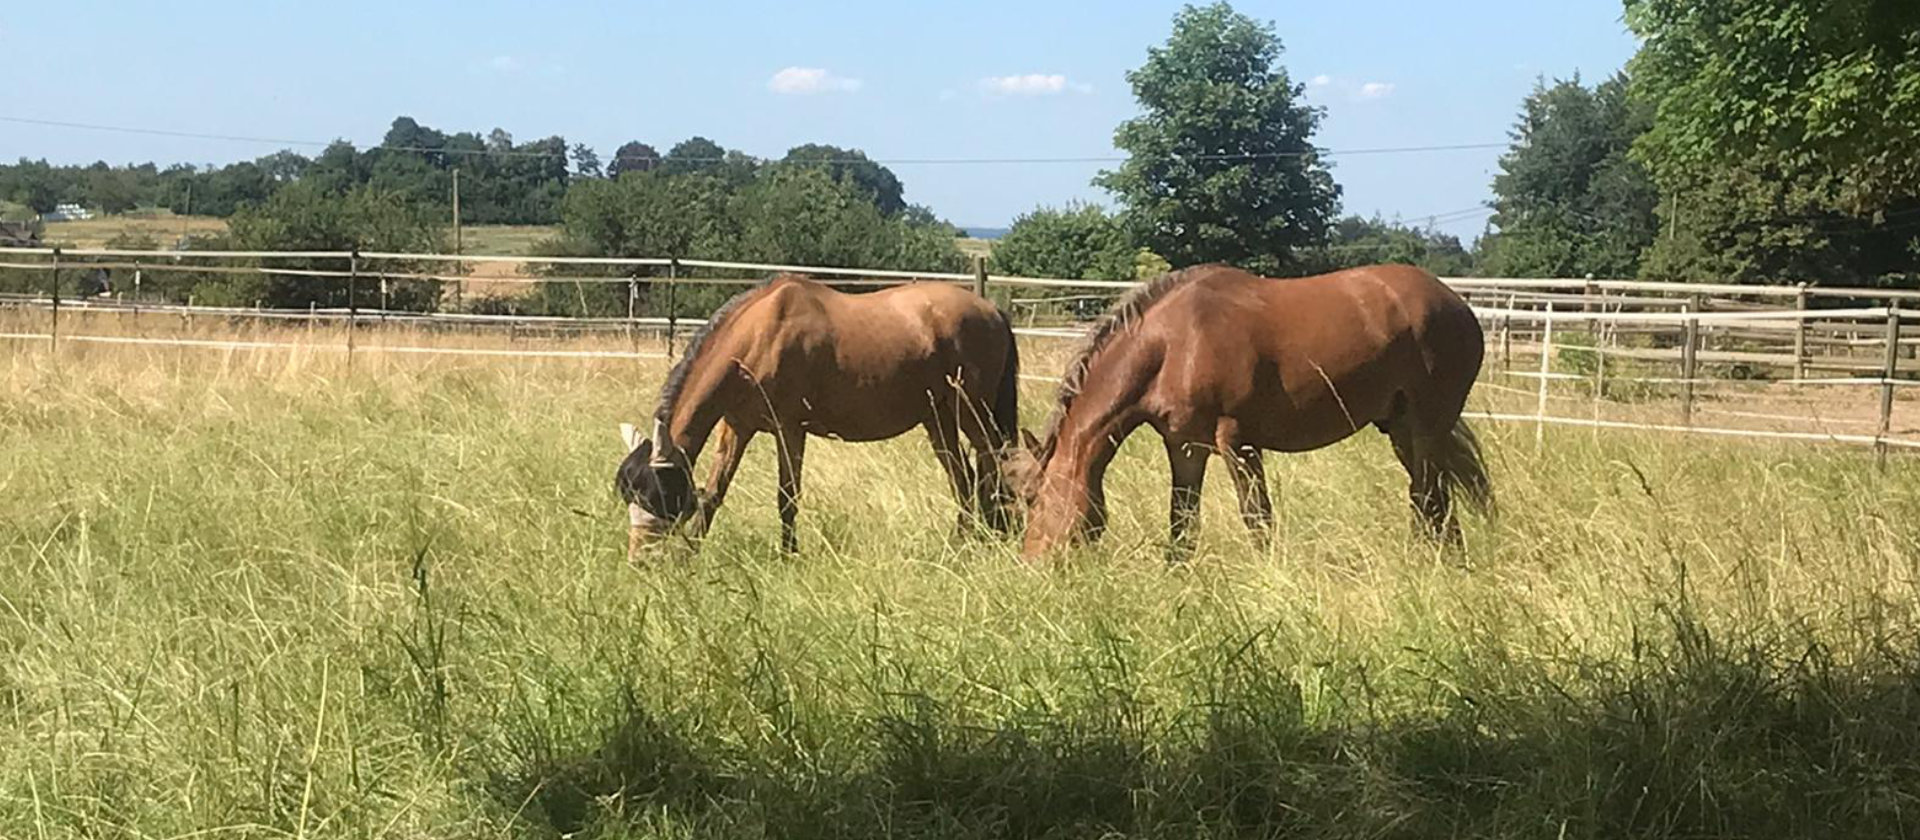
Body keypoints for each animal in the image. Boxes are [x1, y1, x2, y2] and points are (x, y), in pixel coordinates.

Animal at [615, 273, 1020, 557]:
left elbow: (787, 497)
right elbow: (713, 492)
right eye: (629, 494)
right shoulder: (736, 428)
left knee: (993, 466)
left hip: (972, 413)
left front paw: (789, 556)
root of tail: (992, 311)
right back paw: (962, 543)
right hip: (939, 419)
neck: (757, 338)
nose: (640, 560)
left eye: (656, 495)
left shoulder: (790, 429)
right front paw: (691, 554)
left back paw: (992, 537)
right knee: (963, 479)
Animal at [1008, 263, 1492, 560]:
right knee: (1434, 503)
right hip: (1401, 430)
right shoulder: (1186, 446)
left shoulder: (1237, 442)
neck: (1173, 343)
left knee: (1430, 499)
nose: (1033, 564)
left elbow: (1257, 519)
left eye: (1033, 499)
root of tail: (1458, 305)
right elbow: (1183, 522)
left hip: (1426, 428)